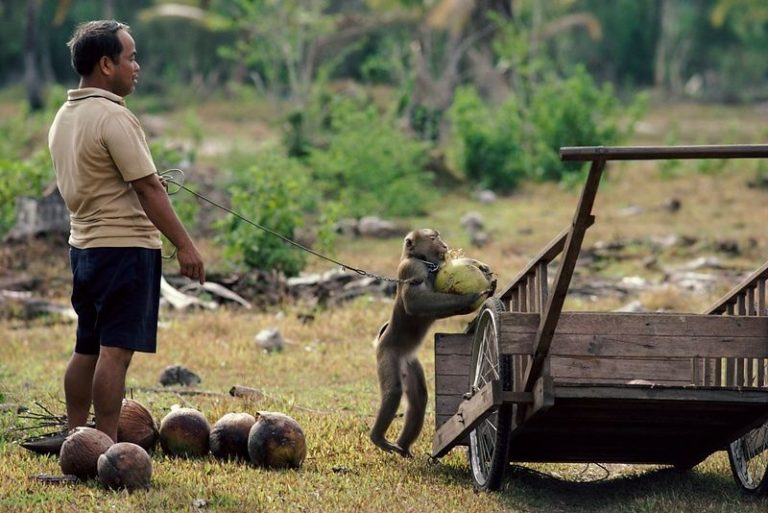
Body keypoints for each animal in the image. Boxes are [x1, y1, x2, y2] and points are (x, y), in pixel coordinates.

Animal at [370, 228, 492, 456]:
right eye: (434, 238)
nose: (444, 245)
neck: (422, 260)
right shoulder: (412, 269)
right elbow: (415, 302)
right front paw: (470, 297)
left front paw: (483, 268)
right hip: (387, 354)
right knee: (394, 391)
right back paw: (377, 438)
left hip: (410, 362)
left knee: (419, 399)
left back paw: (403, 447)